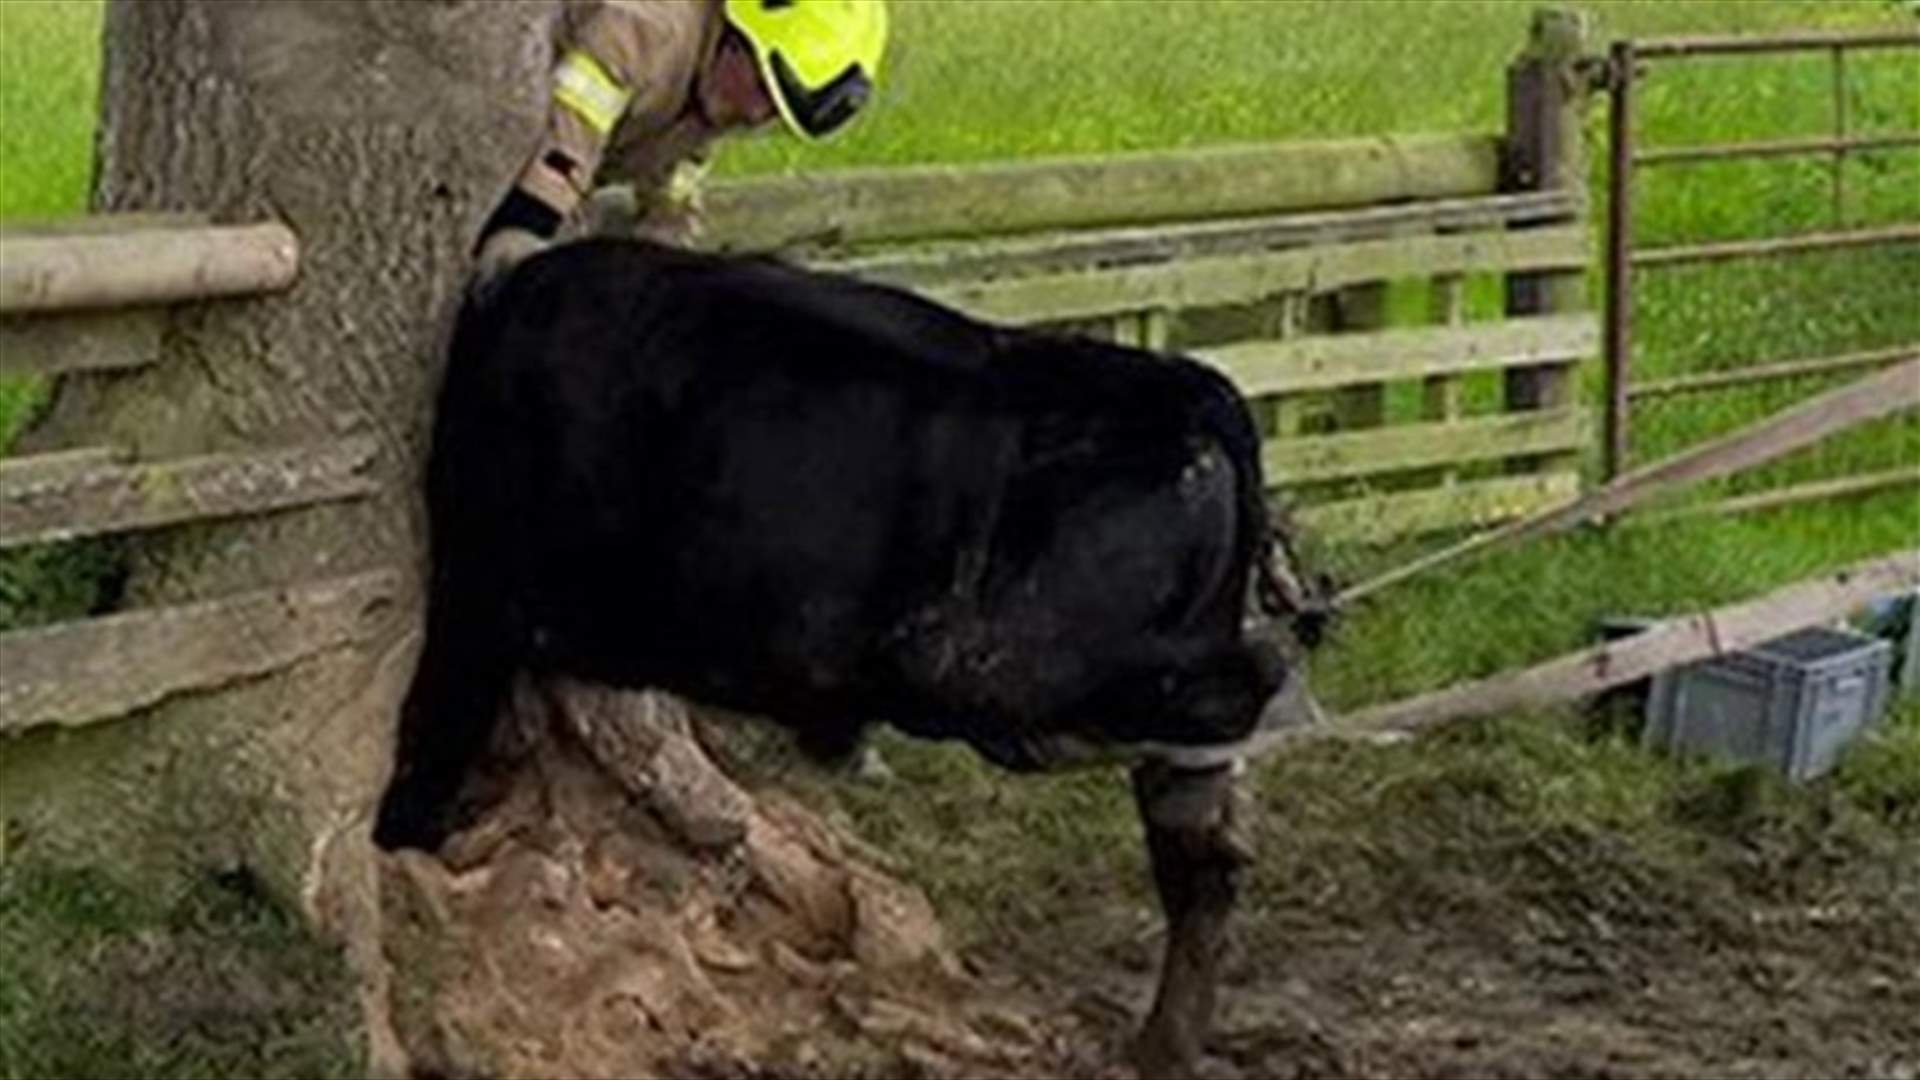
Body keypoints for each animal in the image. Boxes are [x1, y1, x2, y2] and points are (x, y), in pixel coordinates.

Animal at [373, 238, 1327, 1075]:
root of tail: (1197, 392)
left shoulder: (476, 601)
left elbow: (428, 742)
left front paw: (400, 840)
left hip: (980, 660)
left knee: (1242, 691)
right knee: (1199, 847)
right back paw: (1167, 1036)